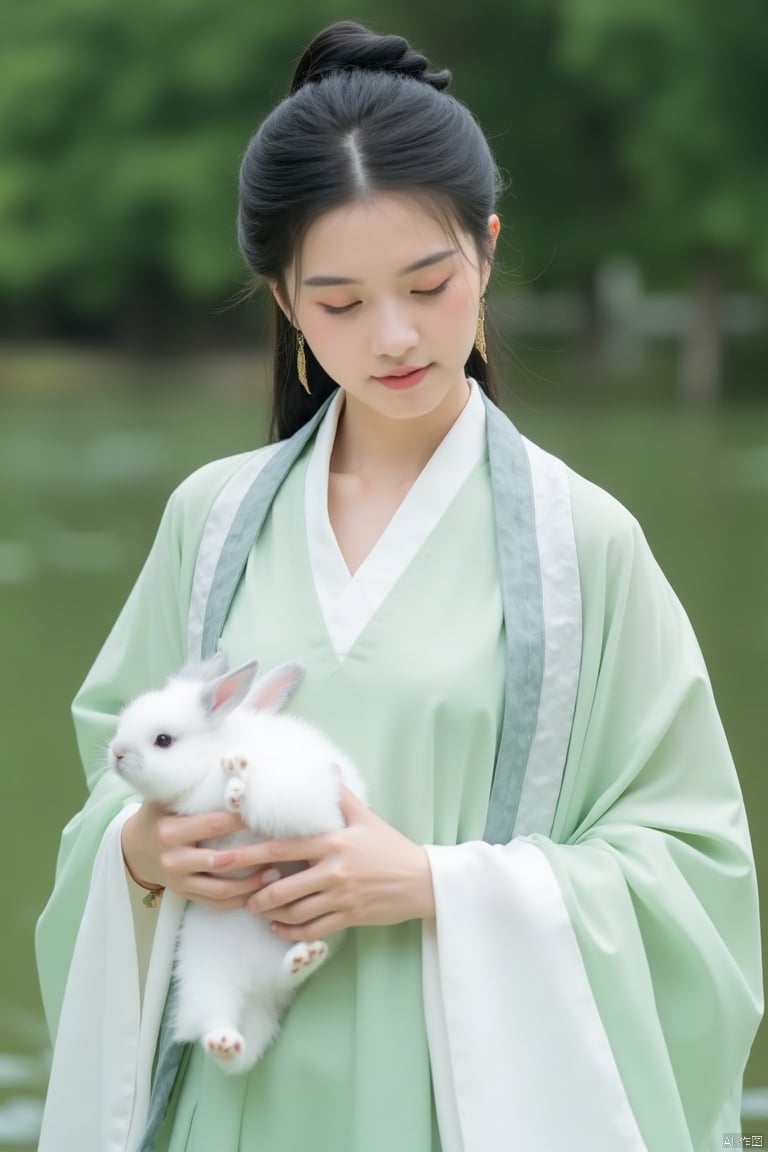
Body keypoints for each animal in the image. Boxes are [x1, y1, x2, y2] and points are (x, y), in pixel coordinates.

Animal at [107, 654, 366, 1073]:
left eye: (163, 740)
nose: (116, 753)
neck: (205, 761)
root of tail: (255, 991)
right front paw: (234, 783)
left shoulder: (308, 804)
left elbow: (272, 800)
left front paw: (237, 781)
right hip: (206, 976)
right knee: (217, 1025)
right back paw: (227, 1042)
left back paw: (301, 960)